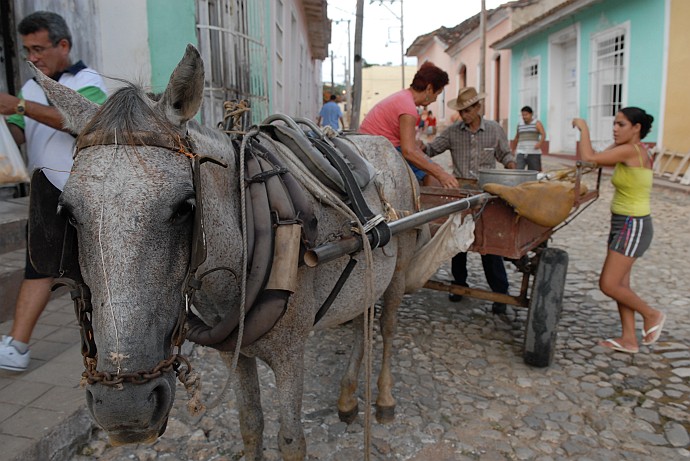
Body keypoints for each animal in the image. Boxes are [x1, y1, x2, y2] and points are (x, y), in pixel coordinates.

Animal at [36, 44, 420, 460]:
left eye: (186, 207)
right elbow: (250, 424)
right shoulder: (233, 353)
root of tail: (384, 146)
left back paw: (383, 400)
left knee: (386, 326)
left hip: (400, 269)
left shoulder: (291, 354)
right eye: (67, 214)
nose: (125, 407)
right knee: (362, 321)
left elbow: (291, 439)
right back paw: (348, 399)